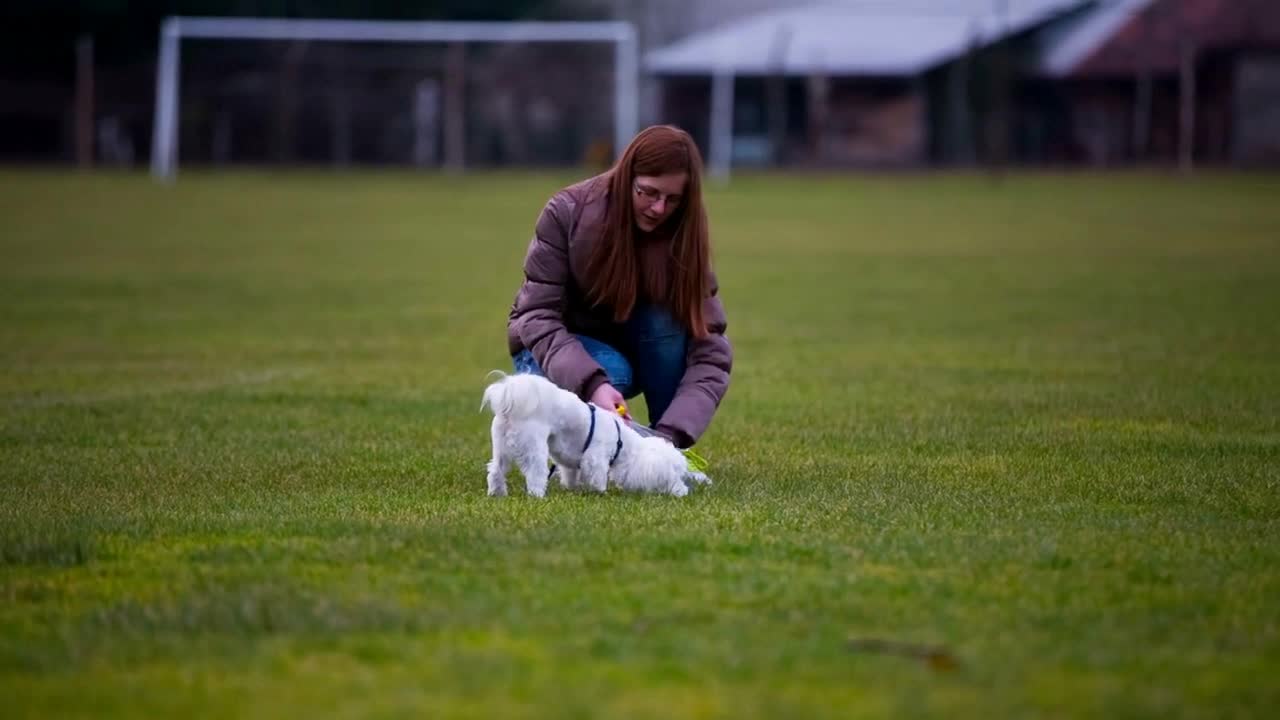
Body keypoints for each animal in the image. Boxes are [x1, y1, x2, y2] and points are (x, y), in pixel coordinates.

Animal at [483, 368, 716, 491]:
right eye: (672, 478)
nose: (684, 492)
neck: (621, 441)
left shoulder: (569, 459)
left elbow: (569, 472)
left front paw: (572, 488)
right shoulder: (595, 456)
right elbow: (598, 475)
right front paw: (600, 492)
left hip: (501, 447)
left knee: (495, 470)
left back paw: (497, 493)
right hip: (533, 447)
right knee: (535, 473)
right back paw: (537, 494)